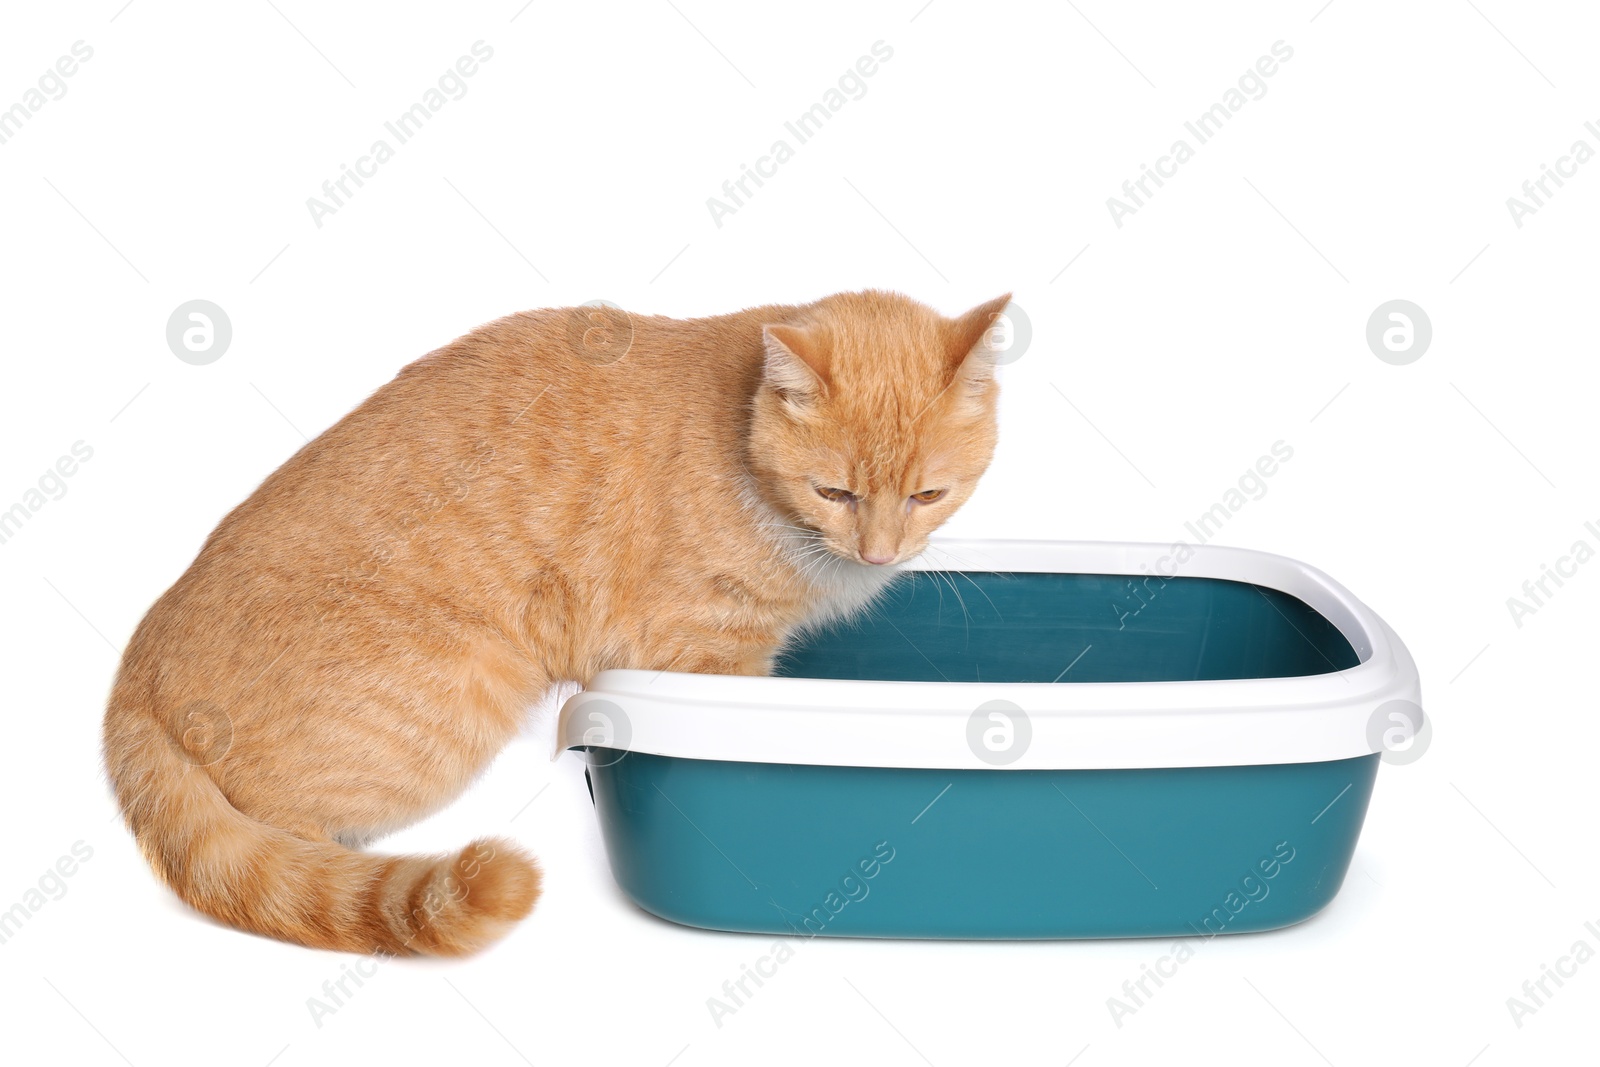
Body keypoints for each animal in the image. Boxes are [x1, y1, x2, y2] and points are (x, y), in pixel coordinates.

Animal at [103, 287, 1011, 953]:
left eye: (928, 493)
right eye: (835, 491)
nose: (880, 553)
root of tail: (136, 666)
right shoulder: (708, 655)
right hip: (454, 698)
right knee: (275, 837)